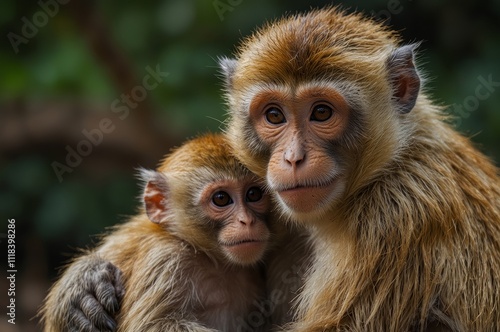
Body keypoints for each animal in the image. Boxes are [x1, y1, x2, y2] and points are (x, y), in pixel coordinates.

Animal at [41, 134, 274, 330]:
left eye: (254, 194)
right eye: (221, 198)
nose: (247, 221)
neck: (213, 261)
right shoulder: (166, 259)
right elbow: (153, 326)